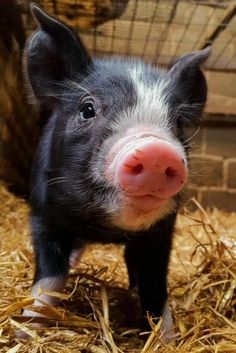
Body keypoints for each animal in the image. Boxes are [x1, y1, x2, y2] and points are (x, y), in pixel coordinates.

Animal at [22, 4, 210, 340]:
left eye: (177, 122)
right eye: (87, 109)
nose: (156, 151)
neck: (105, 230)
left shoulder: (161, 232)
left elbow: (153, 285)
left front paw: (167, 339)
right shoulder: (42, 215)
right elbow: (49, 277)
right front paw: (25, 330)